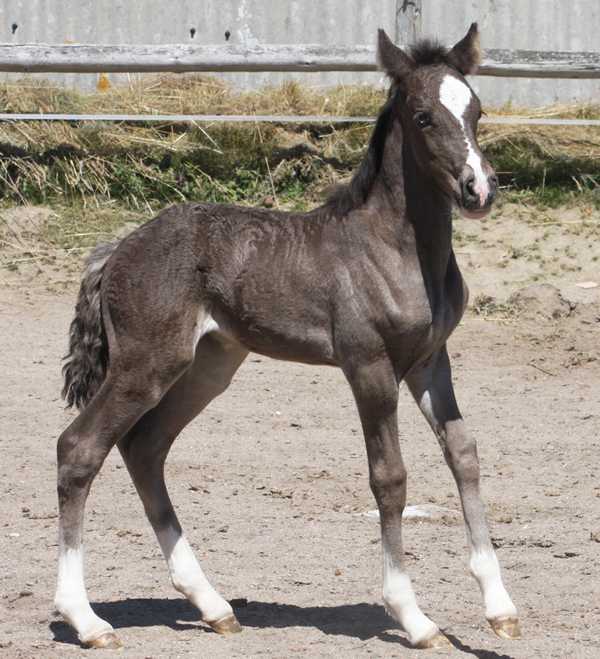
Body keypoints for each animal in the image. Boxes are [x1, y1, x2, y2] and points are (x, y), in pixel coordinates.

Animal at [54, 23, 522, 650]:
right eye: (423, 116)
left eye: (476, 109)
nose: (478, 190)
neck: (398, 247)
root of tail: (117, 248)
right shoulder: (369, 365)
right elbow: (390, 477)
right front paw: (414, 617)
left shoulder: (430, 361)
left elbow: (464, 454)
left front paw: (500, 607)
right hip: (144, 364)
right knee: (79, 448)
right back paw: (86, 620)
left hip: (208, 366)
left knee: (145, 447)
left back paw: (213, 606)